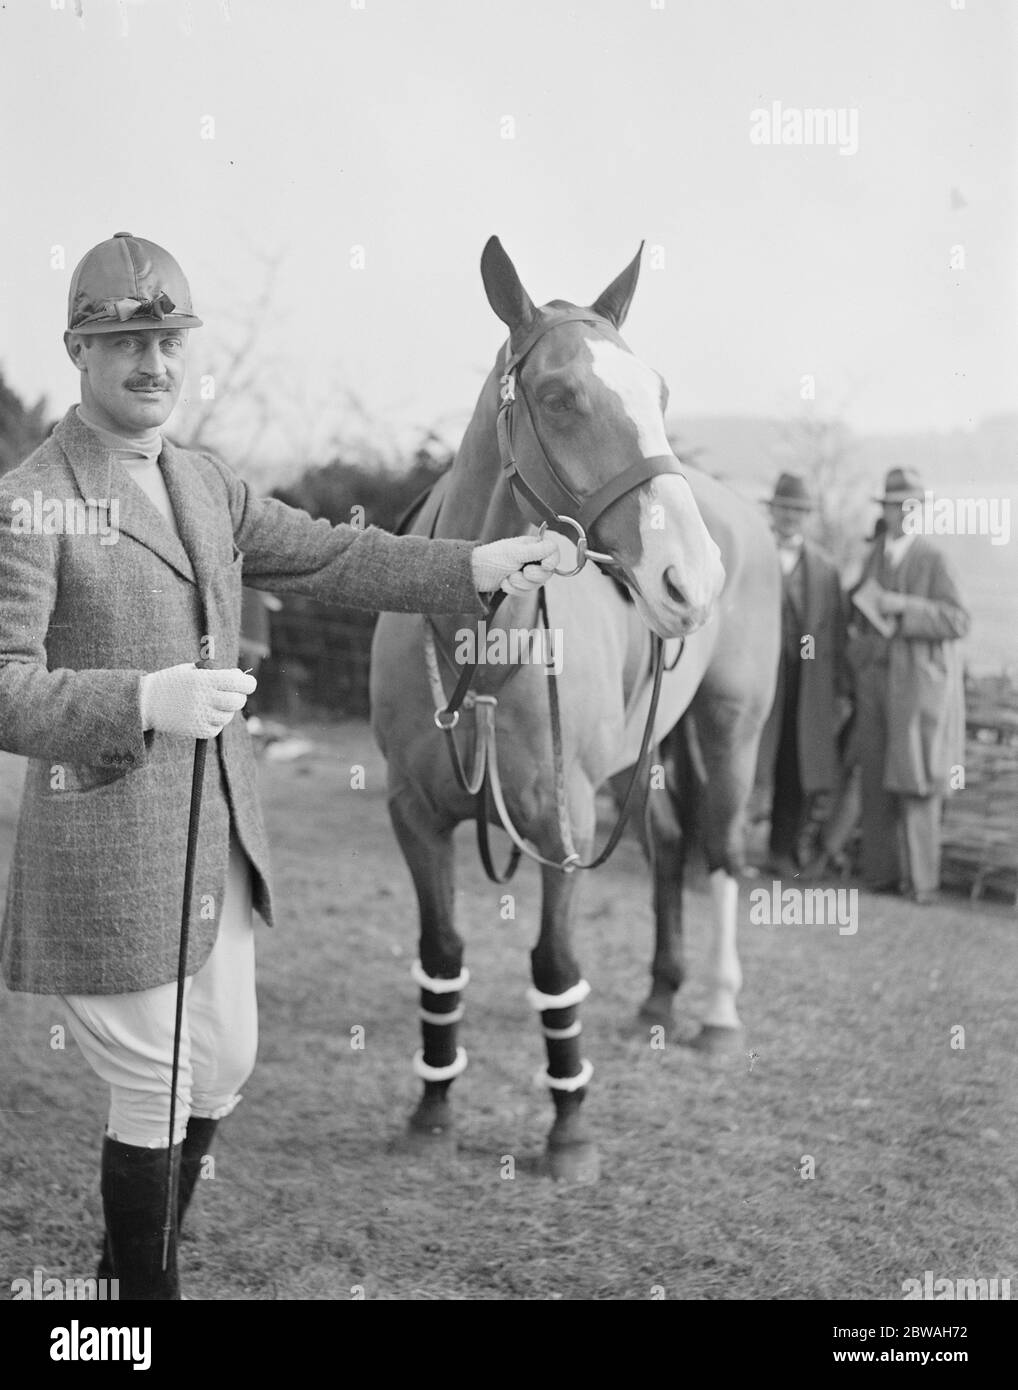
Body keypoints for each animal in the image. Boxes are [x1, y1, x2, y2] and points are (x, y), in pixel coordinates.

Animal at [372, 239, 778, 1184]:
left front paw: (569, 1129)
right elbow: (441, 954)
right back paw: (661, 996)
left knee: (720, 853)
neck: (481, 646)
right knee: (669, 848)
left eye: (659, 392)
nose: (690, 580)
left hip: (729, 732)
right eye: (559, 396)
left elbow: (556, 966)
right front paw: (433, 1103)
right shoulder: (414, 815)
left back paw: (717, 1013)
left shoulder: (564, 823)